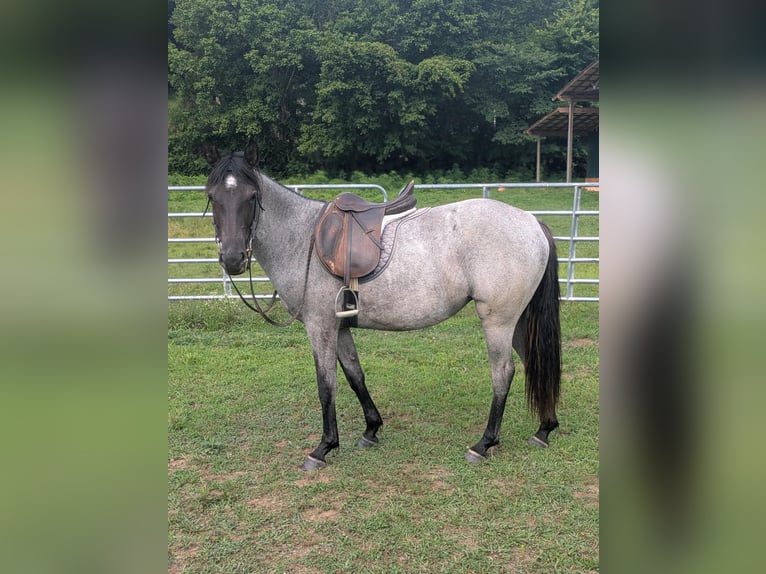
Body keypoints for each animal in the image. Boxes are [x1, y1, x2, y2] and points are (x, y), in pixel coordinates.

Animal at [203, 143, 562, 470]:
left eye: (251, 196)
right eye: (213, 196)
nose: (232, 259)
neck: (303, 239)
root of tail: (532, 223)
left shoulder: (320, 326)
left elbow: (326, 384)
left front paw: (323, 448)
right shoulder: (340, 327)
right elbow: (354, 375)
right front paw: (371, 429)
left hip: (498, 320)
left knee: (503, 372)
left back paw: (484, 444)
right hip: (518, 321)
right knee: (533, 361)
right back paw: (544, 429)